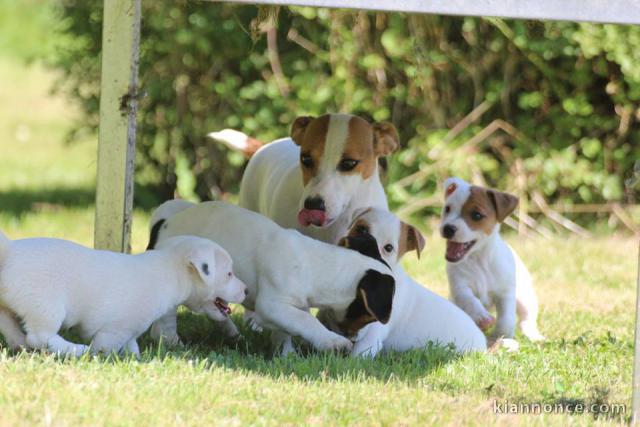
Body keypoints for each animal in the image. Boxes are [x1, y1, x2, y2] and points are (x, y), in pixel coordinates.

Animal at [0, 231, 245, 358]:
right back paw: (75, 349)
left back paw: (20, 345)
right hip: (47, 308)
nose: (246, 290)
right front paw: (100, 358)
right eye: (229, 274)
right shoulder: (114, 331)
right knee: (40, 336)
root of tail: (10, 251)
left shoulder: (129, 334)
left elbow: (132, 349)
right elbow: (105, 347)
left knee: (12, 329)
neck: (168, 269)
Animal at [146, 201, 396, 354]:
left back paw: (230, 333)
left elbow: (289, 327)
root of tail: (163, 224)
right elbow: (306, 321)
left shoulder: (290, 306)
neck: (316, 265)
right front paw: (332, 342)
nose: (354, 339)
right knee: (167, 318)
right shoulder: (272, 305)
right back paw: (171, 340)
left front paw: (286, 354)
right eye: (369, 316)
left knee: (217, 311)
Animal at [442, 176, 548, 342]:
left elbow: (506, 319)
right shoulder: (461, 288)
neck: (479, 259)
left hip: (525, 298)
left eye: (476, 215)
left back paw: (533, 335)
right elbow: (471, 301)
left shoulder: (505, 294)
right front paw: (482, 317)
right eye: (447, 209)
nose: (447, 228)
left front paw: (501, 335)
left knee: (526, 319)